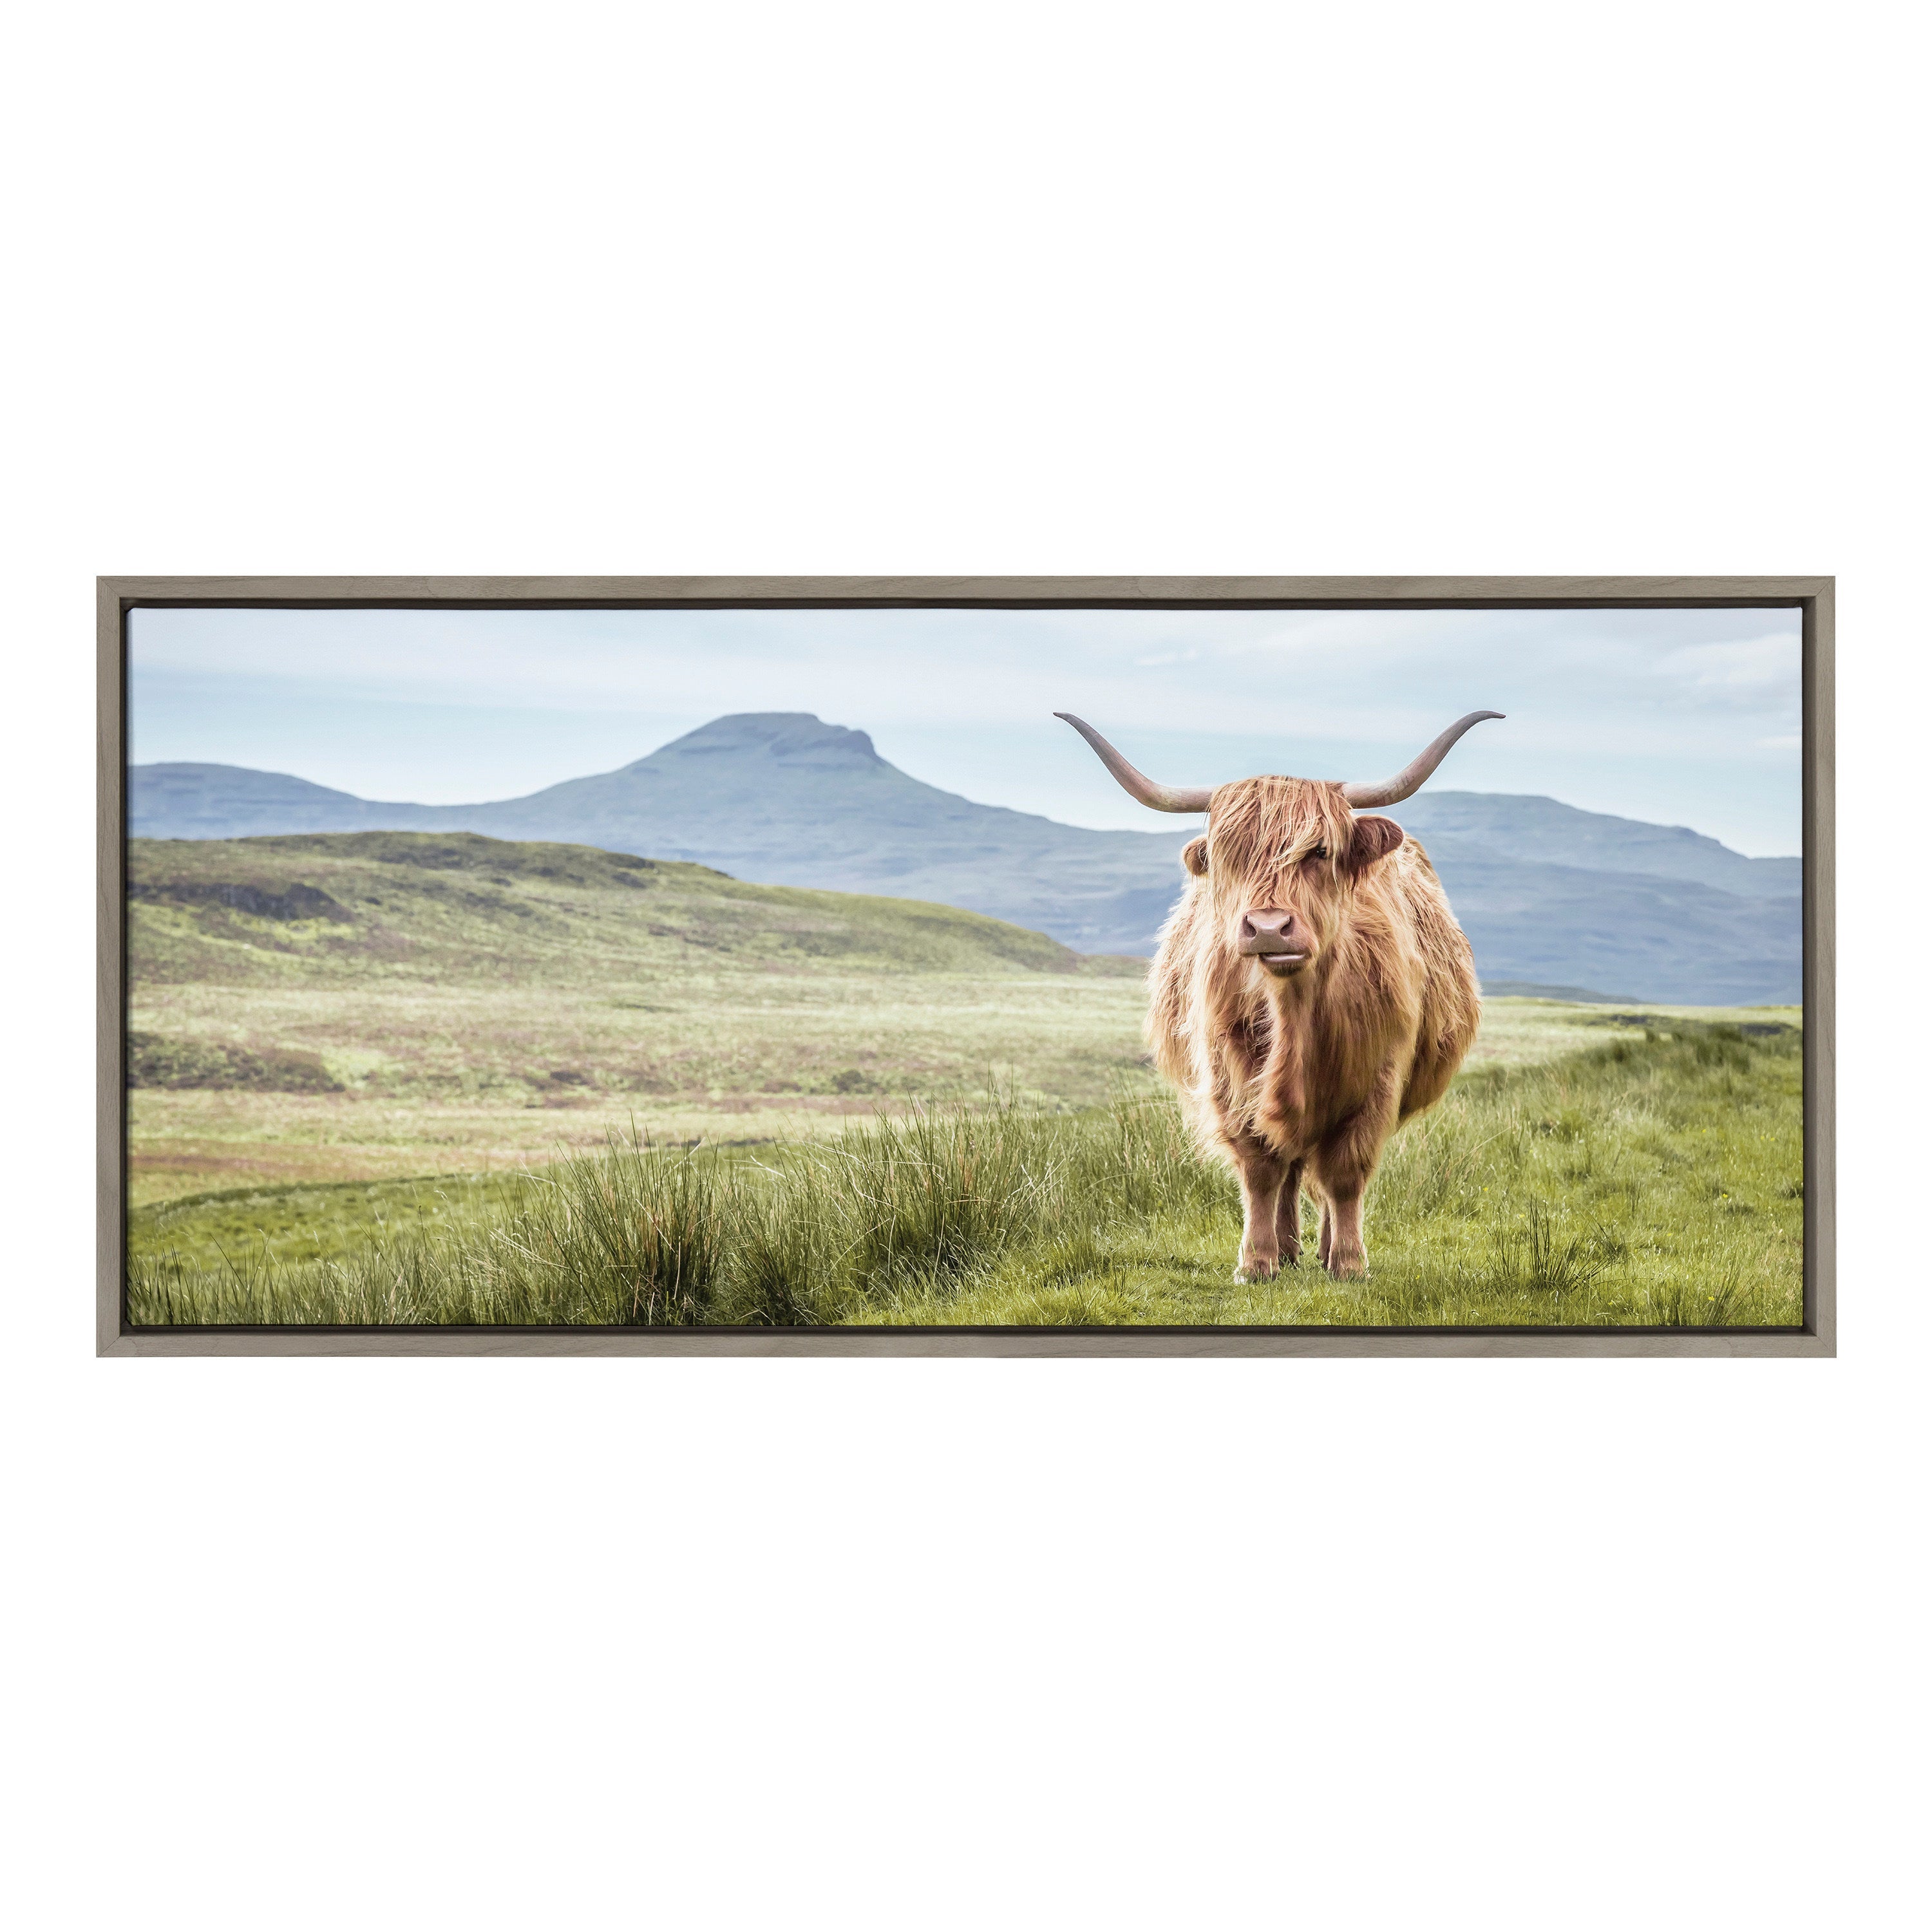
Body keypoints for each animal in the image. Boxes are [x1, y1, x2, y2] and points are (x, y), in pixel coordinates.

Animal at [1058, 709, 1503, 1283]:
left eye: (1320, 852)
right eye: (1228, 855)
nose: (1268, 928)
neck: (1295, 1013)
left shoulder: (1378, 1079)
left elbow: (1345, 1173)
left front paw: (1349, 1262)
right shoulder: (1230, 1075)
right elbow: (1261, 1167)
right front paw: (1257, 1261)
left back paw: (1323, 1247)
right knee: (1289, 1166)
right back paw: (1288, 1248)